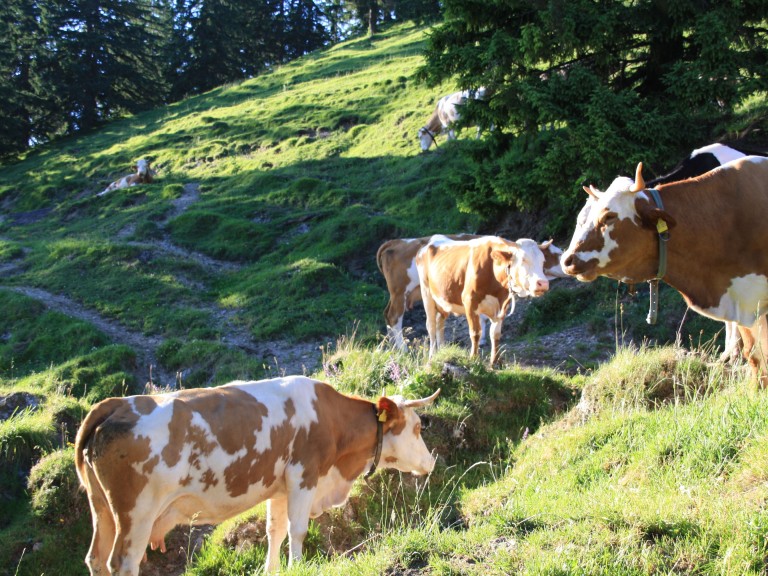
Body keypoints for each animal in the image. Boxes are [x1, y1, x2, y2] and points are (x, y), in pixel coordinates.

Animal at [76, 376, 440, 572]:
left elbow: (274, 531)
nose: (431, 462)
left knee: (96, 558)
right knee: (123, 561)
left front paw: (273, 570)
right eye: (417, 427)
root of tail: (117, 403)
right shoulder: (303, 476)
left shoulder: (279, 488)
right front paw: (296, 567)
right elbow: (297, 530)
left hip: (101, 508)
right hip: (136, 513)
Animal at [378, 235, 568, 352]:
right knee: (396, 317)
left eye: (542, 260)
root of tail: (395, 242)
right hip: (404, 293)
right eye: (557, 254)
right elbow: (479, 321)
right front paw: (482, 340)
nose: (543, 283)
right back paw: (403, 349)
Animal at [414, 234, 552, 364]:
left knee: (439, 323)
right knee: (431, 326)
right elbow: (476, 333)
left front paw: (495, 362)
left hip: (445, 300)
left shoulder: (503, 305)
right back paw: (432, 356)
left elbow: (495, 334)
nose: (543, 284)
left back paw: (441, 351)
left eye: (543, 261)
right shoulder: (470, 301)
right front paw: (474, 358)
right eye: (523, 260)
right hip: (426, 293)